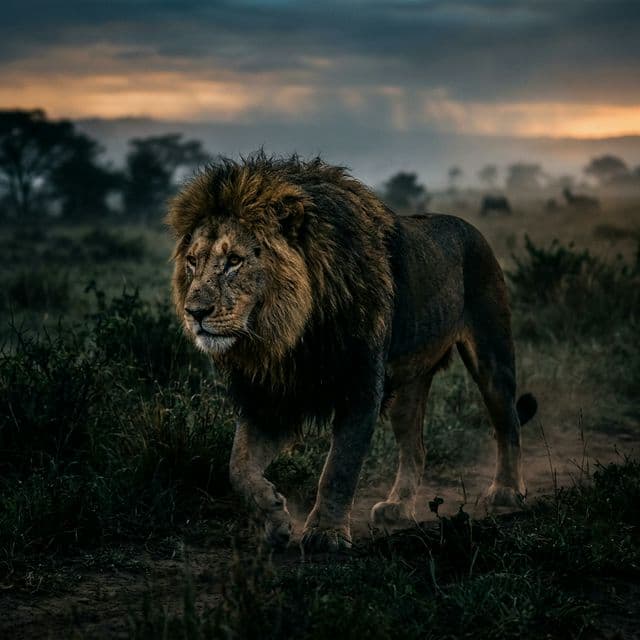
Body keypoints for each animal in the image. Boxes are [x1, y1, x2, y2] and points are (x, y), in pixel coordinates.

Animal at [166, 154, 537, 553]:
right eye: (192, 261)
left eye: (234, 260)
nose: (194, 312)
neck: (290, 333)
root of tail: (470, 227)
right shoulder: (271, 397)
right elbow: (238, 467)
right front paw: (275, 517)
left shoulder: (360, 387)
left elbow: (339, 467)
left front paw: (326, 533)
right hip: (407, 390)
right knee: (416, 448)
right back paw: (397, 508)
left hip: (491, 353)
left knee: (508, 423)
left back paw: (507, 492)